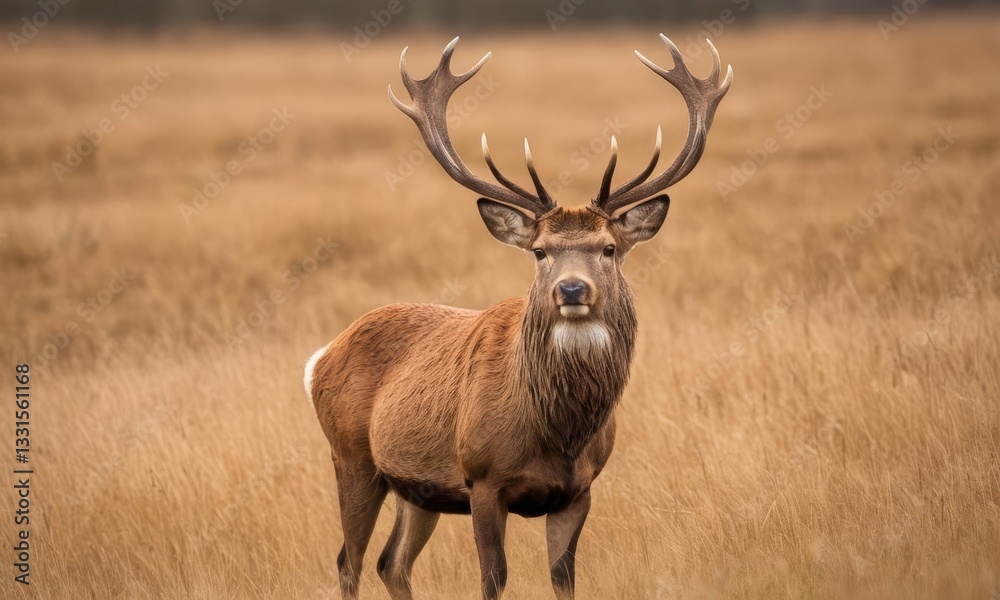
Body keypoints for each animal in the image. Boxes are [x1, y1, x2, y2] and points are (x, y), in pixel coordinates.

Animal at [305, 35, 731, 600]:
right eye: (540, 251)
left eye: (609, 248)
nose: (571, 289)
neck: (559, 432)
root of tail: (320, 357)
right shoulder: (483, 479)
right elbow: (493, 578)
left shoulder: (580, 490)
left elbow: (564, 578)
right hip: (352, 457)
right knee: (347, 562)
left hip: (416, 488)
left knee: (390, 562)